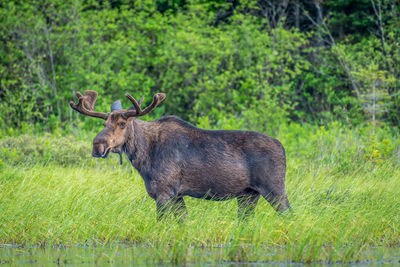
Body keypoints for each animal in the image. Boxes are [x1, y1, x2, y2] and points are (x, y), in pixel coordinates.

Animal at [70, 90, 290, 220]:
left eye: (122, 123)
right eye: (105, 123)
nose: (97, 146)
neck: (143, 157)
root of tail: (283, 148)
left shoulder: (164, 193)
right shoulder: (177, 196)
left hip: (274, 188)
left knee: (289, 214)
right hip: (248, 195)